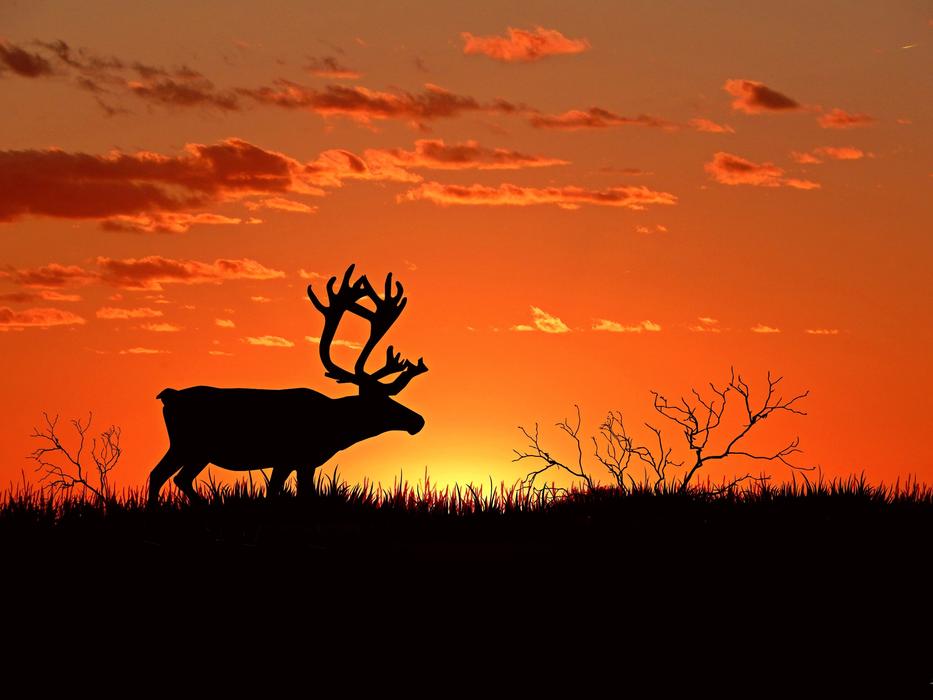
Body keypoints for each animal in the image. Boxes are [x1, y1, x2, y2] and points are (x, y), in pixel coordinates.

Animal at [147, 264, 428, 505]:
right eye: (381, 400)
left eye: (392, 396)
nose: (418, 420)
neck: (335, 426)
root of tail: (168, 396)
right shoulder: (290, 457)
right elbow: (284, 493)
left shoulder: (302, 462)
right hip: (189, 445)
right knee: (165, 476)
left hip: (192, 449)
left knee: (169, 476)